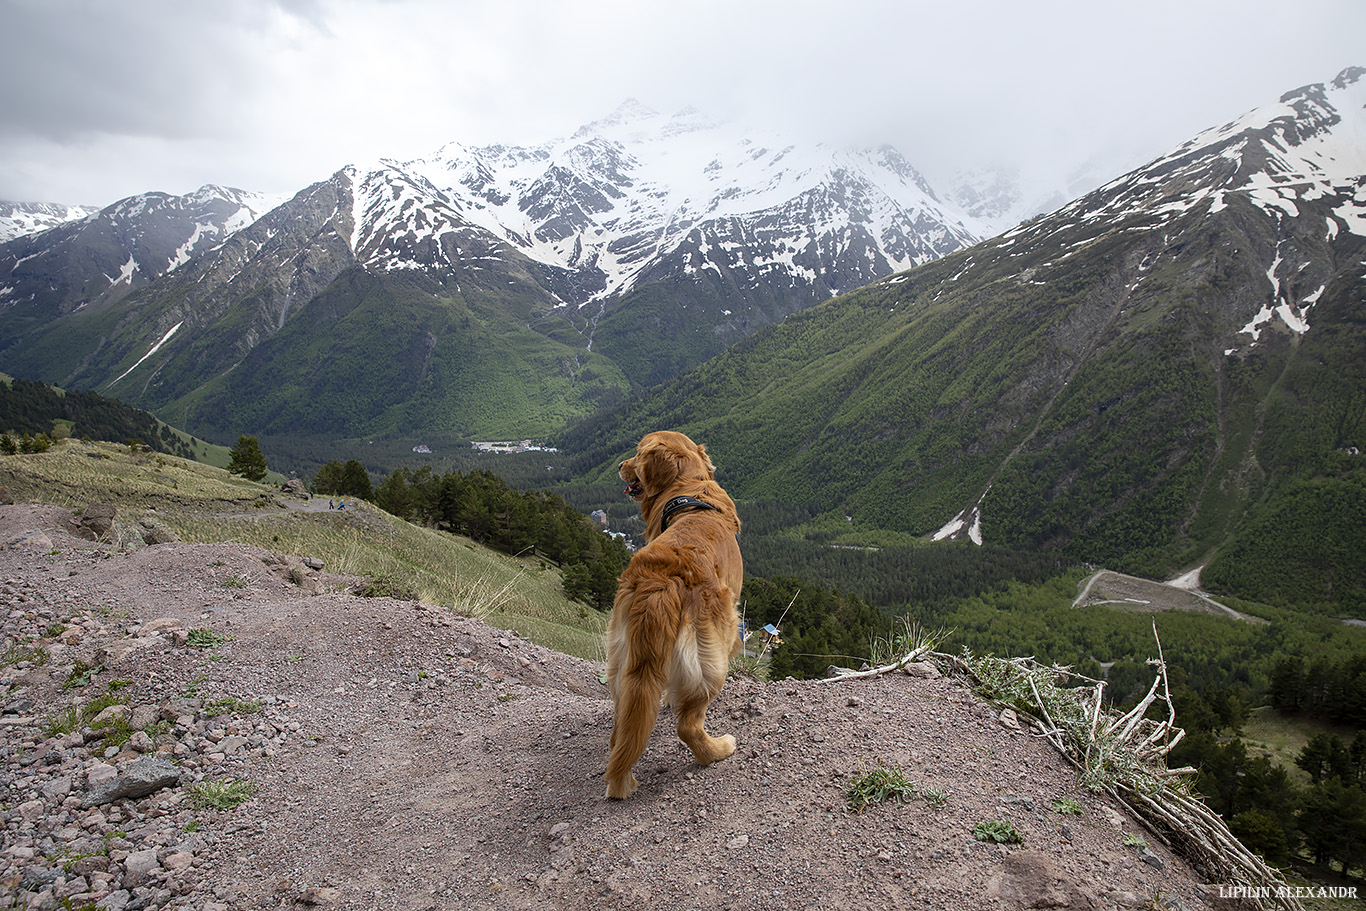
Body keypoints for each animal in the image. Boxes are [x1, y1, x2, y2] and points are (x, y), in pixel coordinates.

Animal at [603, 431, 743, 792]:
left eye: (638, 453)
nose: (620, 465)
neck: (688, 487)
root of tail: (663, 580)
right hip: (711, 660)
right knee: (688, 725)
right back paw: (718, 750)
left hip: (623, 660)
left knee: (623, 726)